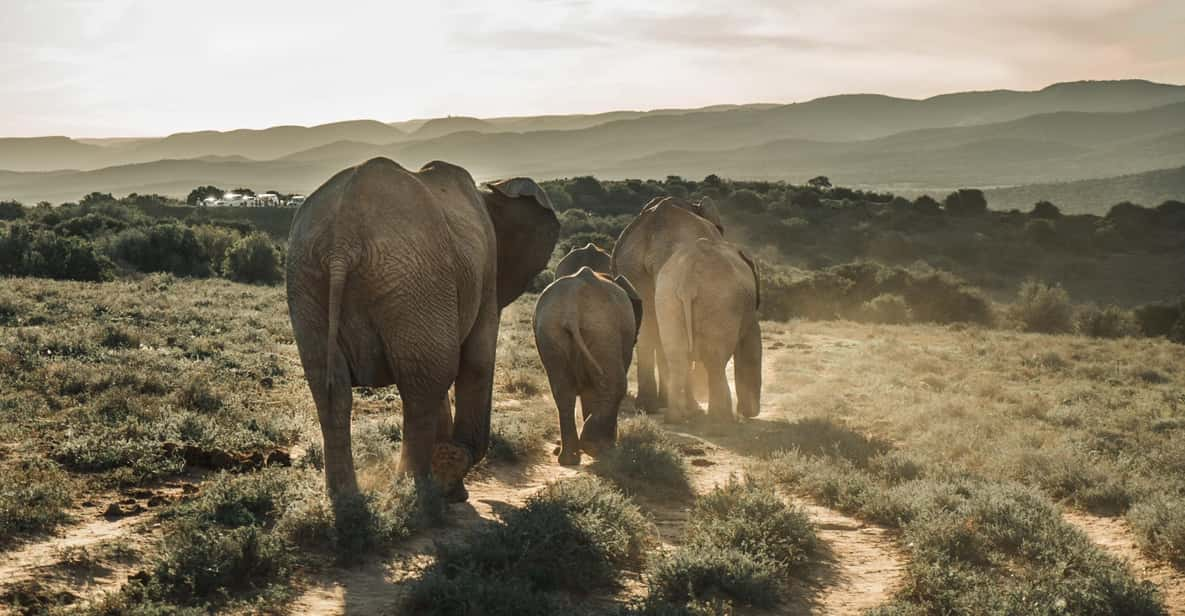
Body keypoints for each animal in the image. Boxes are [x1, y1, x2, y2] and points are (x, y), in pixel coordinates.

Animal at [289, 156, 561, 502]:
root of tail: (342, 239)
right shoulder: (486, 273)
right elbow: (476, 360)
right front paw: (452, 477)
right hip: (413, 279)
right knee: (425, 384)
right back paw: (414, 494)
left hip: (311, 278)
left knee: (332, 387)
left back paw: (348, 499)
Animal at [537, 264, 644, 462]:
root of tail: (572, 305)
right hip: (602, 329)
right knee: (614, 384)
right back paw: (593, 448)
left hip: (551, 331)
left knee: (563, 391)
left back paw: (569, 457)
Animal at [654, 236, 763, 424]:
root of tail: (688, 277)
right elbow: (752, 344)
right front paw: (749, 413)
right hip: (720, 303)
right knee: (715, 360)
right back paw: (722, 418)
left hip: (666, 300)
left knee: (678, 358)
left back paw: (676, 417)